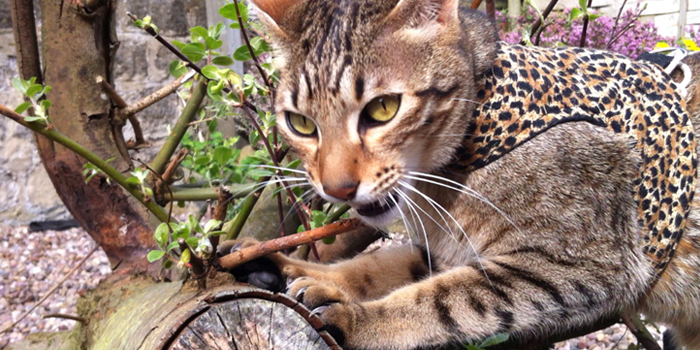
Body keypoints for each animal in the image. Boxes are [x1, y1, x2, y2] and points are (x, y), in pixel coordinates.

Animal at [221, 0, 700, 348]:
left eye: (383, 109)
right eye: (300, 123)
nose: (337, 188)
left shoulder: (579, 266)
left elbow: (443, 299)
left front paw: (358, 319)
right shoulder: (440, 249)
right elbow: (373, 266)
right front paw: (286, 267)